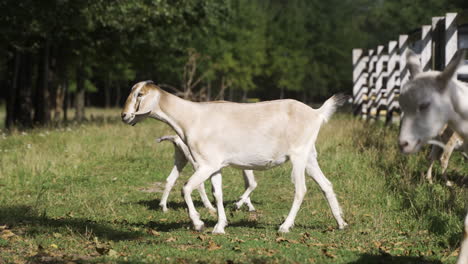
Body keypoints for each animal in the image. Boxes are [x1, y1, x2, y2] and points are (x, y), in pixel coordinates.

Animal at [120, 81, 348, 234]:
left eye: (140, 94)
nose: (124, 116)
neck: (192, 118)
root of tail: (316, 113)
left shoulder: (206, 164)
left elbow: (186, 187)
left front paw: (199, 223)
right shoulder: (216, 166)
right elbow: (217, 194)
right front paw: (220, 226)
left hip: (299, 156)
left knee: (300, 189)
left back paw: (285, 226)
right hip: (310, 157)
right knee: (326, 185)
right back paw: (341, 223)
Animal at [398, 49, 468, 264]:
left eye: (424, 105)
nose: (403, 143)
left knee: (432, 158)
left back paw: (431, 179)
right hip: (446, 144)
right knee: (441, 160)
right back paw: (445, 182)